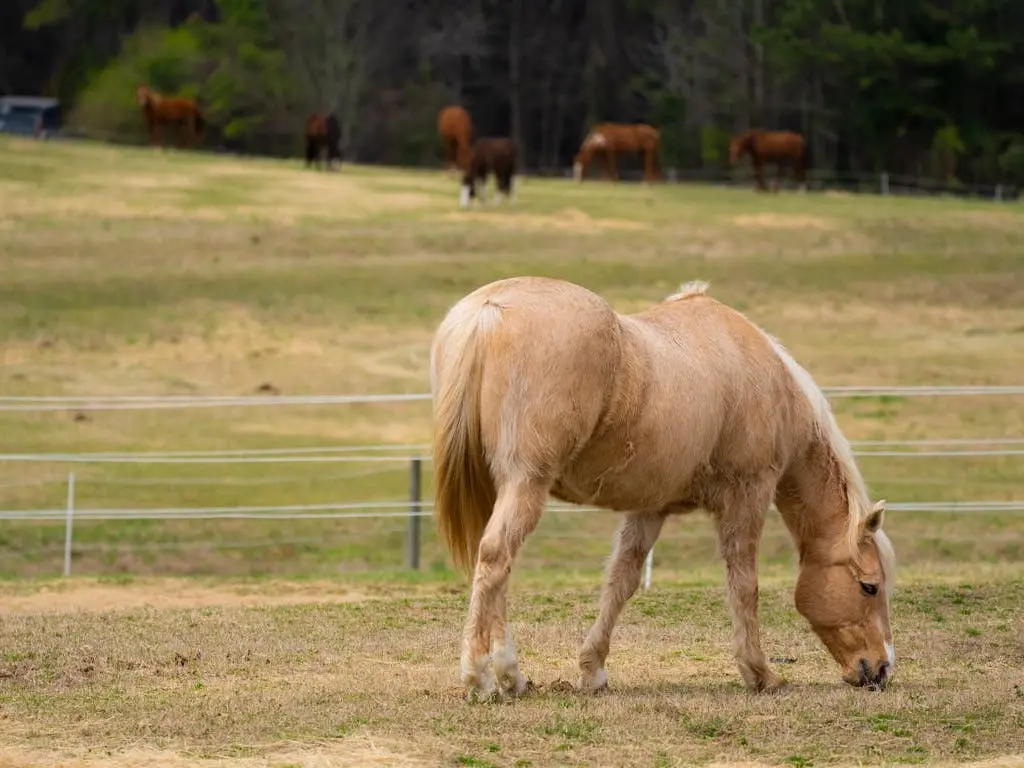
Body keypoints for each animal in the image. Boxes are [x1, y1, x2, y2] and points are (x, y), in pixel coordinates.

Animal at [432, 278, 897, 704]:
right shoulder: (748, 495)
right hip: (526, 483)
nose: (881, 669)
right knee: (496, 558)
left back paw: (509, 676)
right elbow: (744, 585)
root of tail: (489, 311)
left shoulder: (649, 509)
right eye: (869, 587)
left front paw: (593, 671)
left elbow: (622, 581)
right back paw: (488, 677)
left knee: (497, 568)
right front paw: (761, 674)